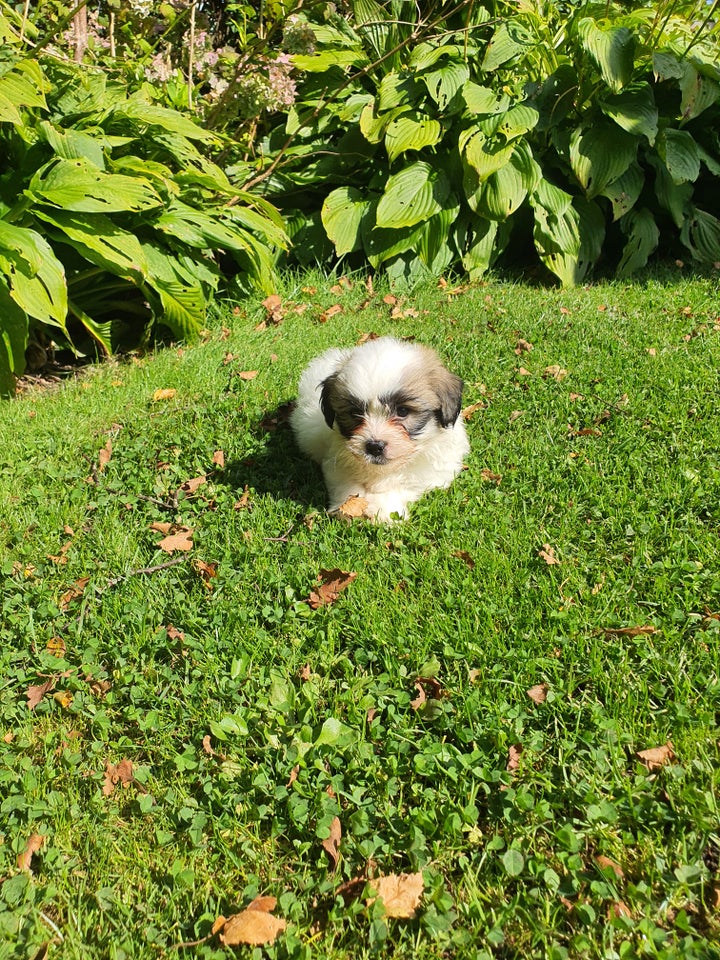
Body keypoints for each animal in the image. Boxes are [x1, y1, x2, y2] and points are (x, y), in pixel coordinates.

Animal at [290, 336, 470, 520]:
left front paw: (384, 512)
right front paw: (349, 507)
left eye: (402, 411)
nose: (374, 446)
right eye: (355, 413)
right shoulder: (337, 462)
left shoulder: (433, 472)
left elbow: (404, 484)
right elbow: (346, 484)